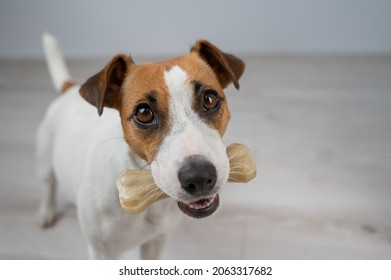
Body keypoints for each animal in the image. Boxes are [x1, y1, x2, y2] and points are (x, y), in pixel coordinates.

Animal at [36, 34, 245, 260]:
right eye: (144, 113)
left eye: (209, 99)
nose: (198, 177)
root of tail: (70, 89)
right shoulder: (101, 252)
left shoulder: (156, 241)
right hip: (45, 160)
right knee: (48, 184)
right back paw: (46, 212)